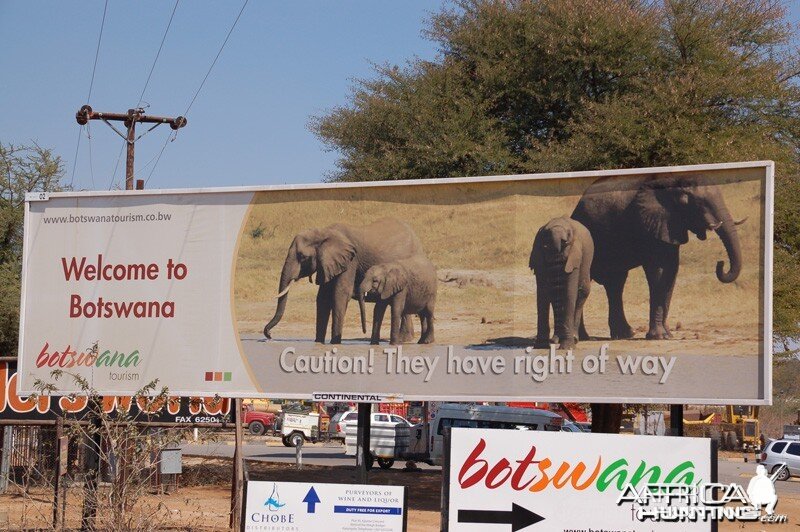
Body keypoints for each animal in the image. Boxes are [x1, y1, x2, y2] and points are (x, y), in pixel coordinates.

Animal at [264, 217, 424, 344]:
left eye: (302, 257)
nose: (269, 335)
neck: (324, 232)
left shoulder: (350, 261)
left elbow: (340, 294)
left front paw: (334, 343)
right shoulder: (329, 263)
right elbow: (323, 298)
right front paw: (318, 343)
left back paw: (403, 339)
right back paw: (405, 339)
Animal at [532, 216, 592, 350]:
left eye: (568, 237)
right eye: (546, 236)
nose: (563, 241)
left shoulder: (575, 255)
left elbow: (569, 292)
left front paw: (567, 348)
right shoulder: (538, 253)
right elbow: (543, 293)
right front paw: (540, 346)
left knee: (582, 293)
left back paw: (574, 339)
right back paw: (555, 340)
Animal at [572, 175, 748, 340]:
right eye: (701, 203)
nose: (720, 263)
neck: (674, 182)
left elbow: (671, 271)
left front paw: (667, 335)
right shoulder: (649, 225)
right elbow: (658, 272)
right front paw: (659, 336)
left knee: (615, 283)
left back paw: (624, 334)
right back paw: (584, 337)